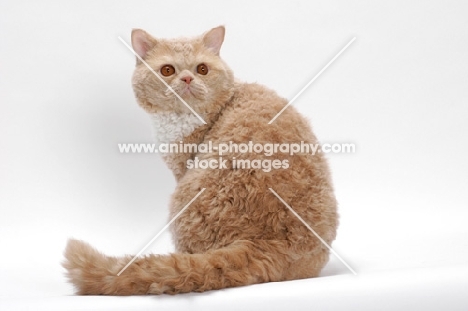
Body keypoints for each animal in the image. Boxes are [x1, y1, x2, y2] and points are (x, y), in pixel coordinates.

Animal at [63, 26, 340, 294]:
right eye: (167, 70)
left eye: (202, 69)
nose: (187, 78)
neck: (180, 120)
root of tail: (267, 242)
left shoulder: (182, 166)